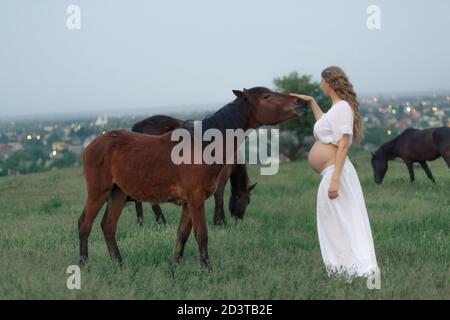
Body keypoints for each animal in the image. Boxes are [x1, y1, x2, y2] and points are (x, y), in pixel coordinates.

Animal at [128, 114, 258, 225]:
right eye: (248, 200)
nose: (239, 219)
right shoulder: (223, 173)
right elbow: (219, 195)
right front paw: (220, 221)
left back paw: (142, 221)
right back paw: (159, 221)